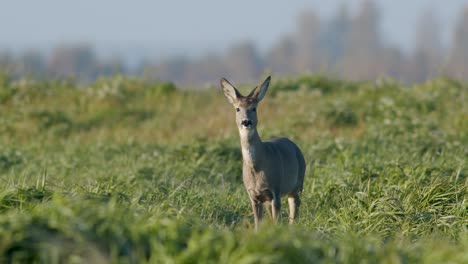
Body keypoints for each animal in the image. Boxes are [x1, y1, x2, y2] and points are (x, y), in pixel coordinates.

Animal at [220, 75, 308, 230]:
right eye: (237, 109)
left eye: (254, 108)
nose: (246, 122)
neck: (257, 167)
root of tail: (295, 146)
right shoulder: (253, 195)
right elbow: (258, 223)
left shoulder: (275, 189)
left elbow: (277, 220)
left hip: (297, 184)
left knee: (293, 212)